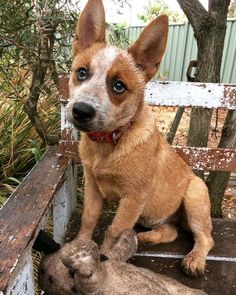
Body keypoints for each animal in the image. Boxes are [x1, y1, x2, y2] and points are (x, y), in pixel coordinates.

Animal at [66, 0, 214, 278]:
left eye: (118, 86)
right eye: (81, 73)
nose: (81, 110)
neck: (109, 143)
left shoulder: (132, 199)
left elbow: (113, 231)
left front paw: (106, 262)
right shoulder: (92, 186)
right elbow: (88, 219)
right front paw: (79, 245)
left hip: (195, 194)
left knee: (205, 237)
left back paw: (194, 260)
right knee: (169, 231)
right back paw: (144, 238)